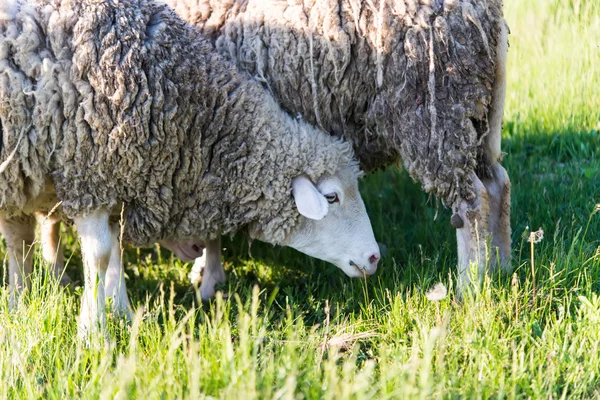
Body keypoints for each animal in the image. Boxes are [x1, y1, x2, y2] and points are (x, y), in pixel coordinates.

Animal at [0, 0, 380, 336]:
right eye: (331, 197)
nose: (375, 257)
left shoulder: (119, 183)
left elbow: (115, 252)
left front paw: (121, 313)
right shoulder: (91, 175)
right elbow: (101, 256)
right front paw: (94, 333)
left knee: (19, 240)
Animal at [159, 0, 510, 294]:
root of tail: (483, 14)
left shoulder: (210, 135)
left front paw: (207, 276)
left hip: (433, 115)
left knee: (472, 203)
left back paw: (469, 287)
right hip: (475, 115)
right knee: (497, 186)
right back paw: (500, 271)